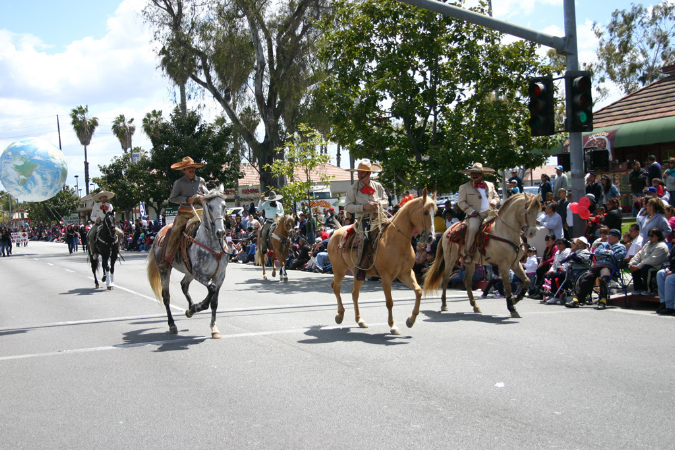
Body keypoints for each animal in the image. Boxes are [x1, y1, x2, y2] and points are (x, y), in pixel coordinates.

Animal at [147, 185, 231, 338]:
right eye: (209, 206)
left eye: (224, 206)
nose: (221, 232)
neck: (212, 245)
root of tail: (160, 231)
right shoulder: (199, 273)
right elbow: (210, 291)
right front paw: (197, 307)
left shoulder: (220, 275)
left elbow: (214, 302)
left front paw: (214, 328)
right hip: (165, 269)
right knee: (166, 296)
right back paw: (172, 324)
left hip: (189, 272)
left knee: (184, 285)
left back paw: (190, 309)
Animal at [328, 188, 438, 336]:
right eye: (425, 212)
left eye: (435, 212)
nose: (431, 238)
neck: (396, 241)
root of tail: (335, 233)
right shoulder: (386, 277)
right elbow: (389, 302)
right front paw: (393, 326)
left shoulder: (405, 274)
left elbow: (419, 291)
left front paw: (411, 320)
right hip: (339, 269)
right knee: (336, 287)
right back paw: (340, 315)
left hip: (359, 272)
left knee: (354, 293)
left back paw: (360, 320)